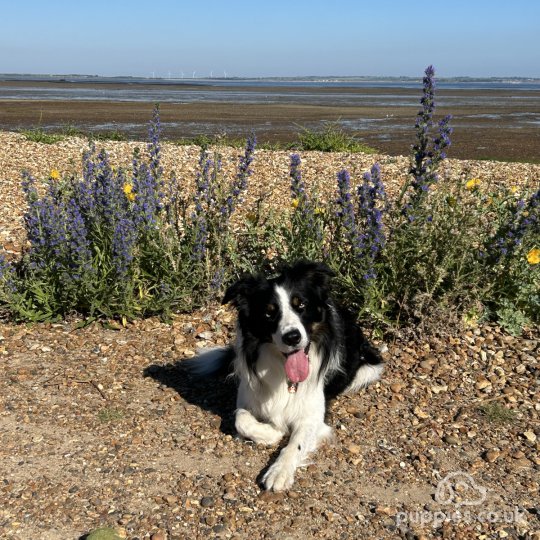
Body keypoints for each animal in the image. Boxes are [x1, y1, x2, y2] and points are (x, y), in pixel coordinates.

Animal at [186, 260, 384, 492]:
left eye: (301, 305)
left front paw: (279, 471)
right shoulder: (247, 396)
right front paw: (272, 433)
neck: (284, 374)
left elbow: (294, 444)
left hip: (367, 369)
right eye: (269, 313)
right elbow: (241, 420)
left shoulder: (312, 416)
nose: (292, 337)